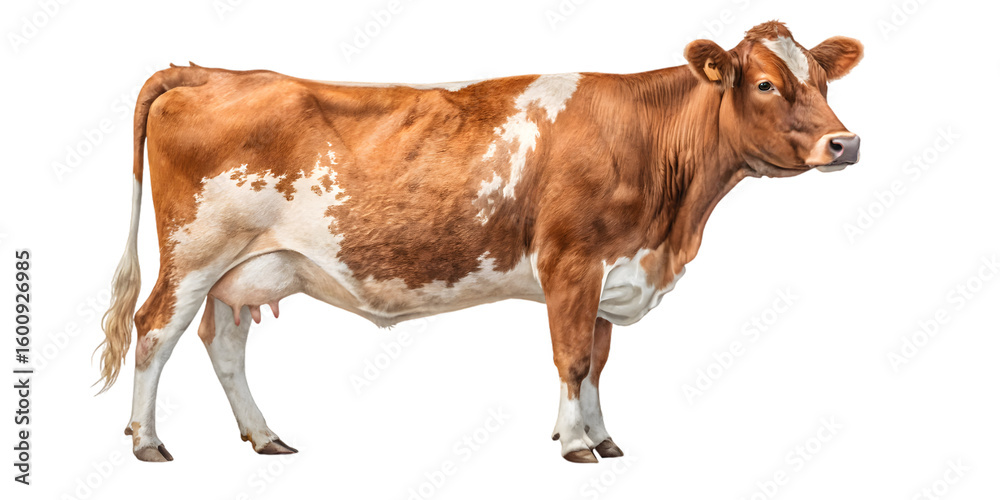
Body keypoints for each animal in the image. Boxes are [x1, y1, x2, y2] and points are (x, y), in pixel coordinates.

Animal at [97, 21, 863, 463]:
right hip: (196, 254)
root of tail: (209, 71)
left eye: (823, 80)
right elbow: (572, 357)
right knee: (154, 328)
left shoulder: (610, 273)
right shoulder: (571, 263)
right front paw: (576, 445)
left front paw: (603, 438)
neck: (670, 226)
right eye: (764, 84)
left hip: (247, 269)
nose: (845, 143)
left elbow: (598, 361)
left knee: (222, 343)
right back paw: (148, 442)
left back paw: (265, 437)